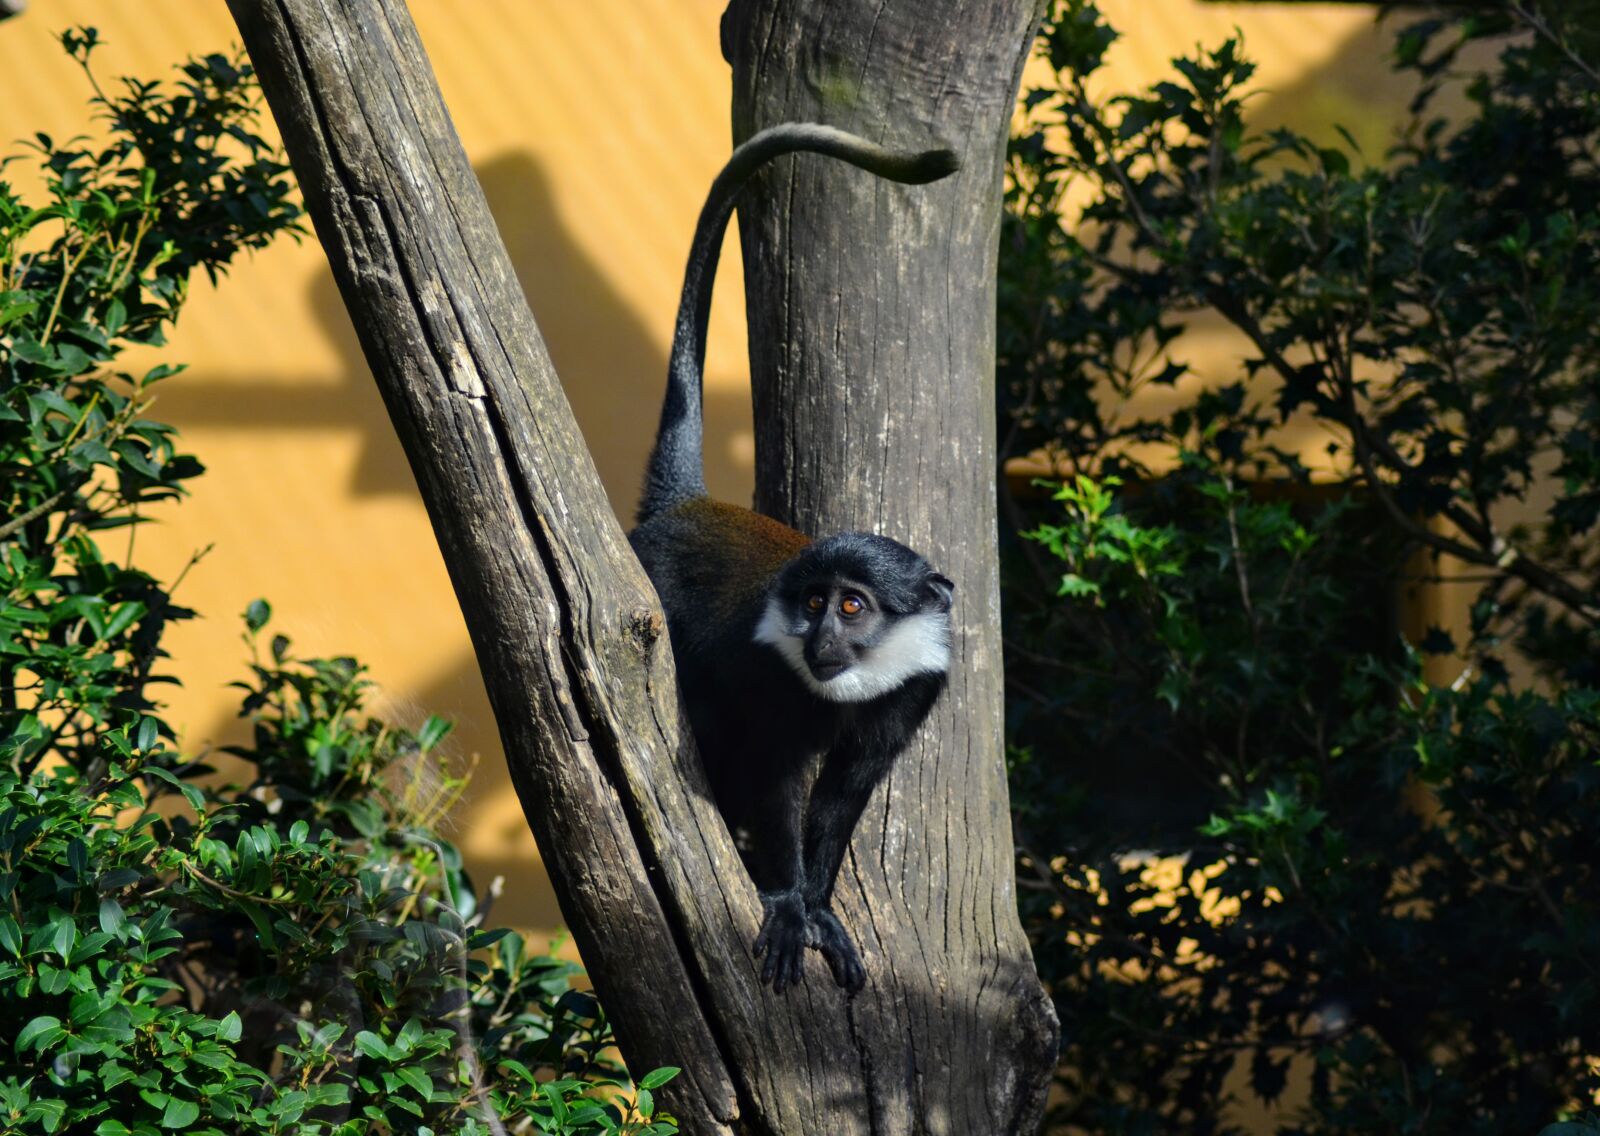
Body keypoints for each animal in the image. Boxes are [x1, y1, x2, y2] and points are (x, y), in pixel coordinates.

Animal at [628, 124, 959, 995]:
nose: (821, 639)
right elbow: (773, 777)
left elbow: (841, 796)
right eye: (811, 602)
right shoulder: (766, 675)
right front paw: (784, 901)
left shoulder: (913, 693)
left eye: (851, 604)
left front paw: (816, 906)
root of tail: (682, 507)